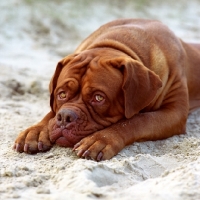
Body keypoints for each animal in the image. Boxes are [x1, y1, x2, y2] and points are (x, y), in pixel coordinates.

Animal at [13, 18, 200, 162]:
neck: (118, 45)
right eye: (62, 94)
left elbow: (137, 120)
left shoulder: (174, 113)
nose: (65, 117)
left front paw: (101, 139)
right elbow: (50, 114)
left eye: (98, 98)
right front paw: (36, 131)